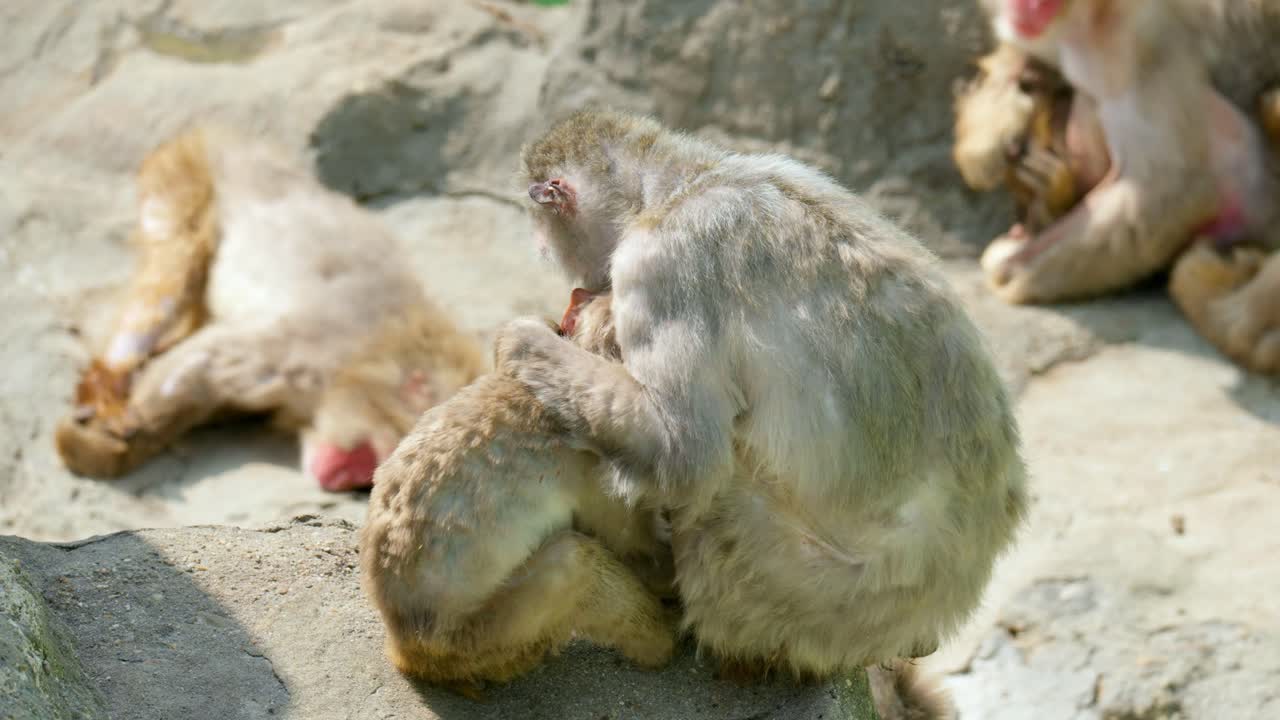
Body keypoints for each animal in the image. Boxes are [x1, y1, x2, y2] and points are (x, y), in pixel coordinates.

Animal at [54, 125, 486, 491]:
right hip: (186, 175)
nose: (340, 481)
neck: (370, 361)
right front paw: (98, 447)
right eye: (371, 461)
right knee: (174, 269)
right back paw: (111, 376)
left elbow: (204, 399)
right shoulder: (309, 354)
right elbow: (204, 364)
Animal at [359, 289, 678, 697]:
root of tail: (404, 646)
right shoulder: (601, 467)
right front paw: (667, 574)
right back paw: (660, 642)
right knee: (571, 563)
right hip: (475, 641)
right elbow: (633, 546)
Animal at [490, 108, 1028, 688]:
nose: (546, 252)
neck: (683, 184)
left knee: (718, 502)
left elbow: (684, 453)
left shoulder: (661, 263)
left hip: (817, 601)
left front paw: (521, 341)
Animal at [971, 0, 1280, 374]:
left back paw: (1224, 313)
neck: (1093, 17)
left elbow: (1174, 186)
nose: (1022, 9)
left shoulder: (1145, 49)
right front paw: (988, 133)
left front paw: (1015, 274)